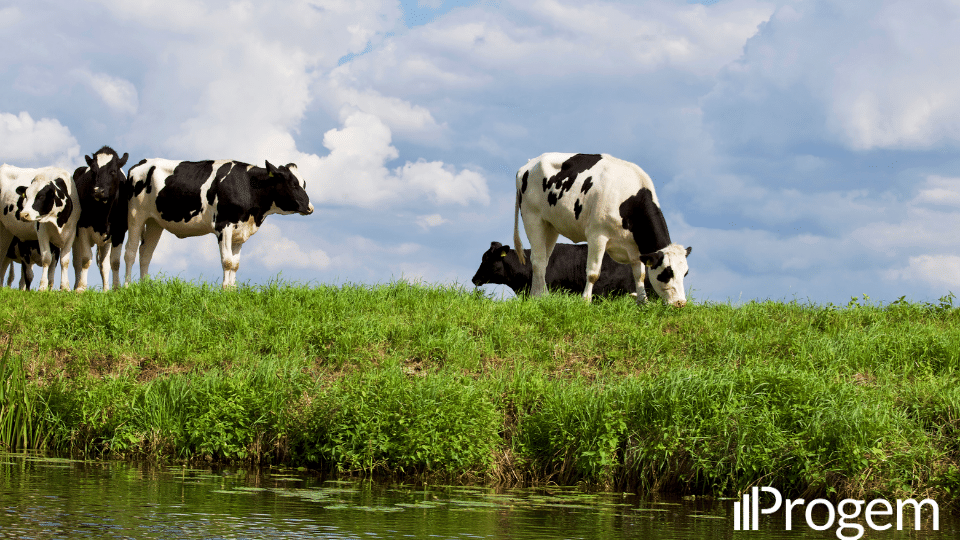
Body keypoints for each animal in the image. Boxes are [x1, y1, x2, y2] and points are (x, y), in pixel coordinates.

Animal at [72, 146, 129, 292]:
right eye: (93, 171)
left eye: (113, 171)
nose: (98, 191)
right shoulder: (82, 227)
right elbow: (85, 259)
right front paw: (81, 288)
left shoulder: (119, 231)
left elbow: (114, 262)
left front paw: (115, 288)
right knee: (76, 262)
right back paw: (74, 286)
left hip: (106, 242)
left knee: (104, 264)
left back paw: (105, 289)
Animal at [123, 159, 318, 288]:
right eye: (292, 184)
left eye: (304, 183)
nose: (310, 208)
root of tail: (141, 163)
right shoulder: (224, 226)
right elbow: (227, 261)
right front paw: (224, 291)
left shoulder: (240, 231)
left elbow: (236, 264)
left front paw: (232, 291)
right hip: (135, 215)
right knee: (130, 252)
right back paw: (127, 287)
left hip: (154, 222)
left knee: (146, 253)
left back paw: (144, 287)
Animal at [512, 154, 692, 306]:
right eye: (667, 273)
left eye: (685, 273)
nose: (680, 303)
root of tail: (529, 163)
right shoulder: (597, 236)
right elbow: (593, 273)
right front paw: (585, 301)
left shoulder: (635, 248)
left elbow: (639, 274)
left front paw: (643, 302)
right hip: (532, 217)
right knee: (537, 260)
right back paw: (538, 297)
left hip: (550, 225)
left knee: (544, 260)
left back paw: (540, 295)